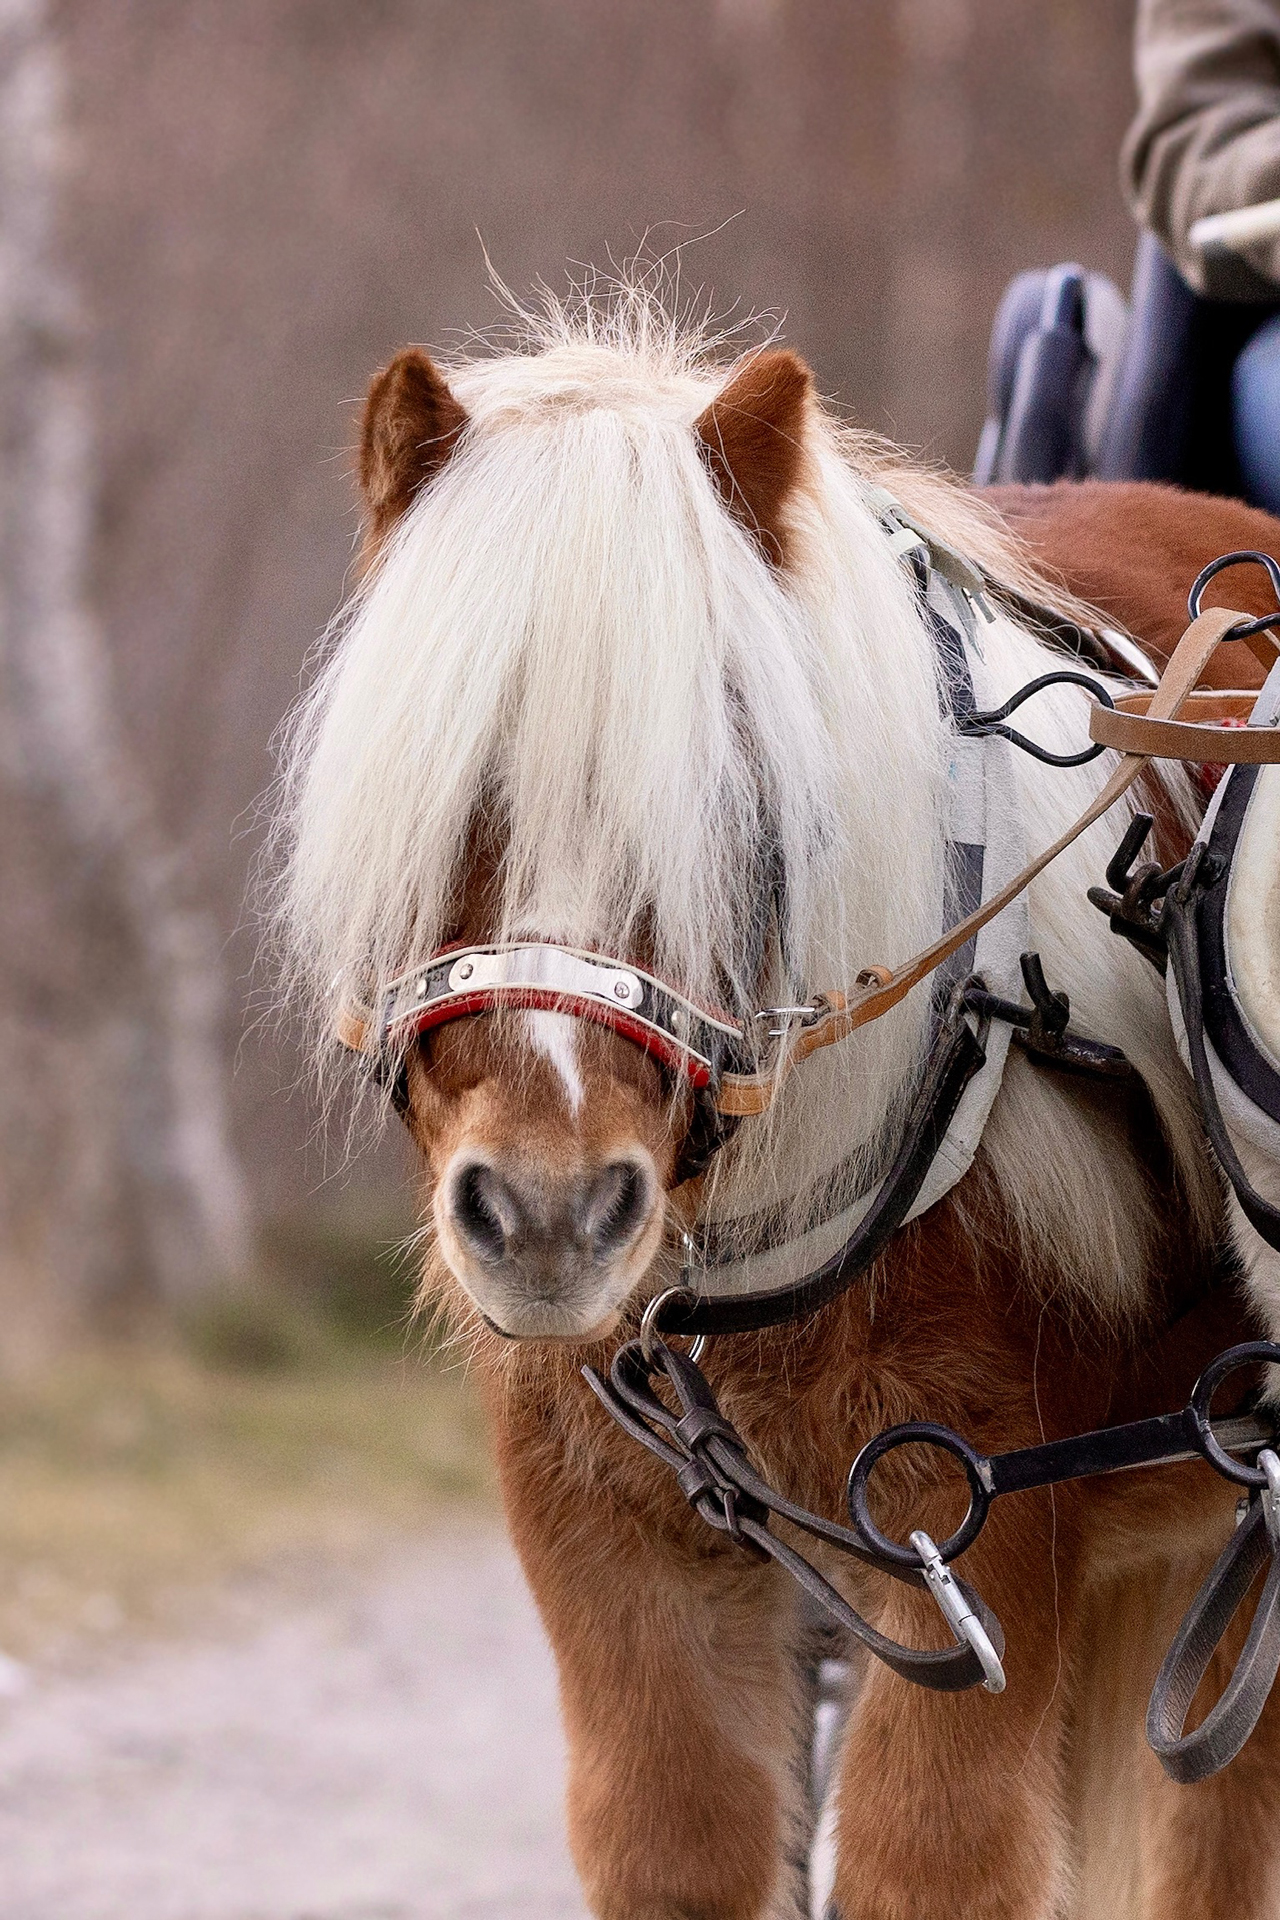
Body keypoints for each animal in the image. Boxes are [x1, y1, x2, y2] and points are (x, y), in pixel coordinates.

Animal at [271, 293, 1280, 1920]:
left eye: (735, 799)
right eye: (445, 778)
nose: (550, 1214)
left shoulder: (968, 1539)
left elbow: (931, 1855)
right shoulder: (619, 1561)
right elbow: (681, 1836)